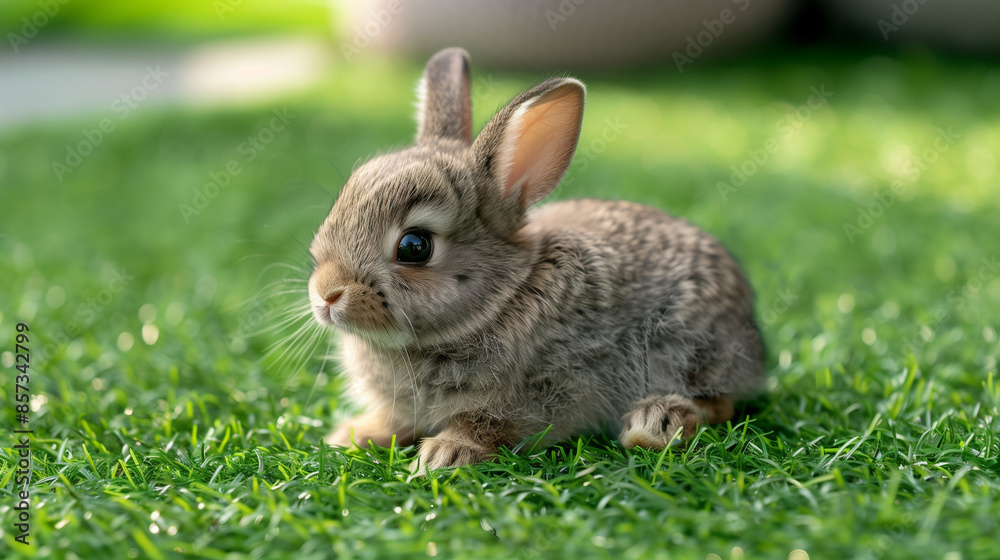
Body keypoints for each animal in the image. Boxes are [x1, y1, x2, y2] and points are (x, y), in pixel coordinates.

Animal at [308, 47, 765, 472]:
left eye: (415, 247)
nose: (326, 294)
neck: (500, 300)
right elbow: (395, 419)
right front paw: (353, 435)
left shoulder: (536, 393)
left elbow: (486, 423)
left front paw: (445, 454)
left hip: (689, 346)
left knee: (719, 403)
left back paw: (655, 423)